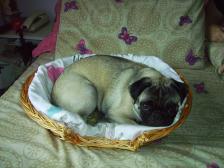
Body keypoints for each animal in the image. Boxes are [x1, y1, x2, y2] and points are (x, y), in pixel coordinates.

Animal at [51, 55, 188, 126]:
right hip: (90, 92)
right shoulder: (117, 114)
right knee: (82, 117)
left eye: (172, 108)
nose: (158, 116)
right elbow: (134, 124)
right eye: (146, 106)